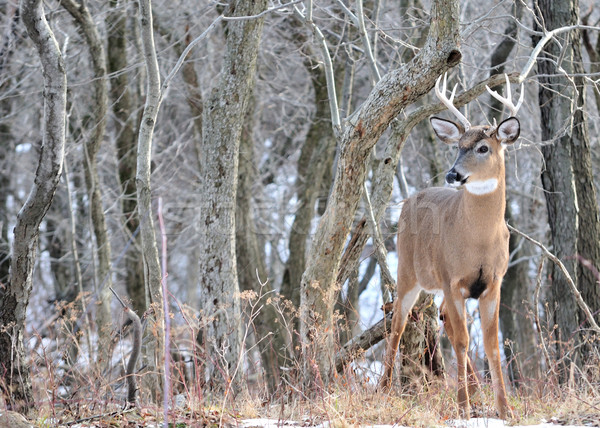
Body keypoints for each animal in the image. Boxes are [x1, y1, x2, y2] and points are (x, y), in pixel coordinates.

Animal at [380, 72, 524, 418]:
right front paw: (463, 407)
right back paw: (383, 389)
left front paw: (504, 409)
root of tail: (410, 198)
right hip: (408, 271)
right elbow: (461, 341)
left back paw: (475, 389)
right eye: (458, 147)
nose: (453, 174)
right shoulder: (452, 277)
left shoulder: (494, 282)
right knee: (397, 325)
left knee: (442, 316)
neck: (478, 241)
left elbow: (491, 345)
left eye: (484, 147)